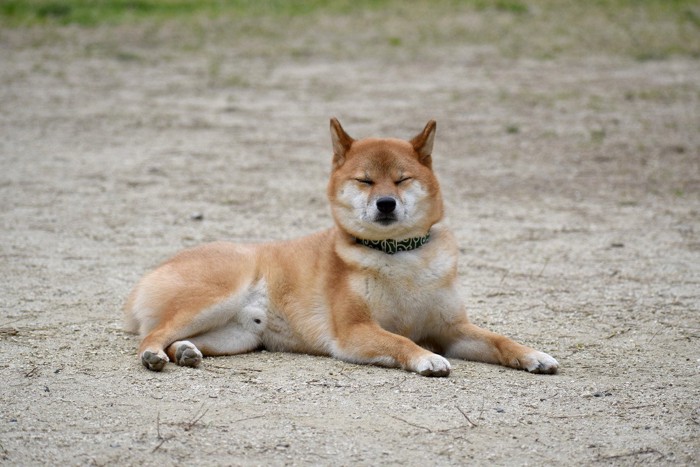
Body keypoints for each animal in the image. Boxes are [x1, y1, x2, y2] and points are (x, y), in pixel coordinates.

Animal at [124, 119, 556, 376]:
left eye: (402, 179)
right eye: (365, 180)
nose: (386, 203)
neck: (400, 256)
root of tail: (154, 270)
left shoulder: (452, 329)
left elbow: (500, 340)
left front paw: (534, 355)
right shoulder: (354, 331)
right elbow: (402, 340)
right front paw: (426, 357)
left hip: (236, 336)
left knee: (178, 339)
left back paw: (185, 352)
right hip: (213, 299)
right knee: (153, 335)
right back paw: (154, 356)